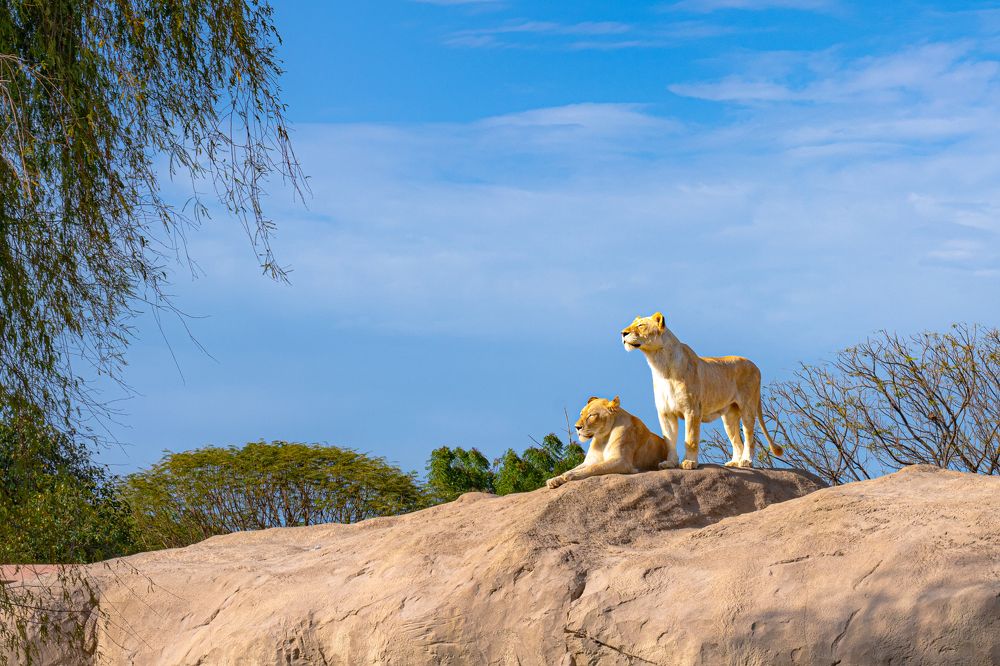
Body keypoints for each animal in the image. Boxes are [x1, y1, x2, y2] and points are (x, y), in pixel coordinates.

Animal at [621, 312, 783, 470]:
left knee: (750, 437)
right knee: (737, 441)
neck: (660, 365)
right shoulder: (666, 412)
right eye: (632, 324)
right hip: (730, 415)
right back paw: (734, 463)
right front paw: (670, 463)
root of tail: (756, 366)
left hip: (748, 407)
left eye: (641, 325)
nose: (623, 333)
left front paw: (690, 462)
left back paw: (746, 461)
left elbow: (691, 438)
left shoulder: (692, 410)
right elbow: (669, 441)